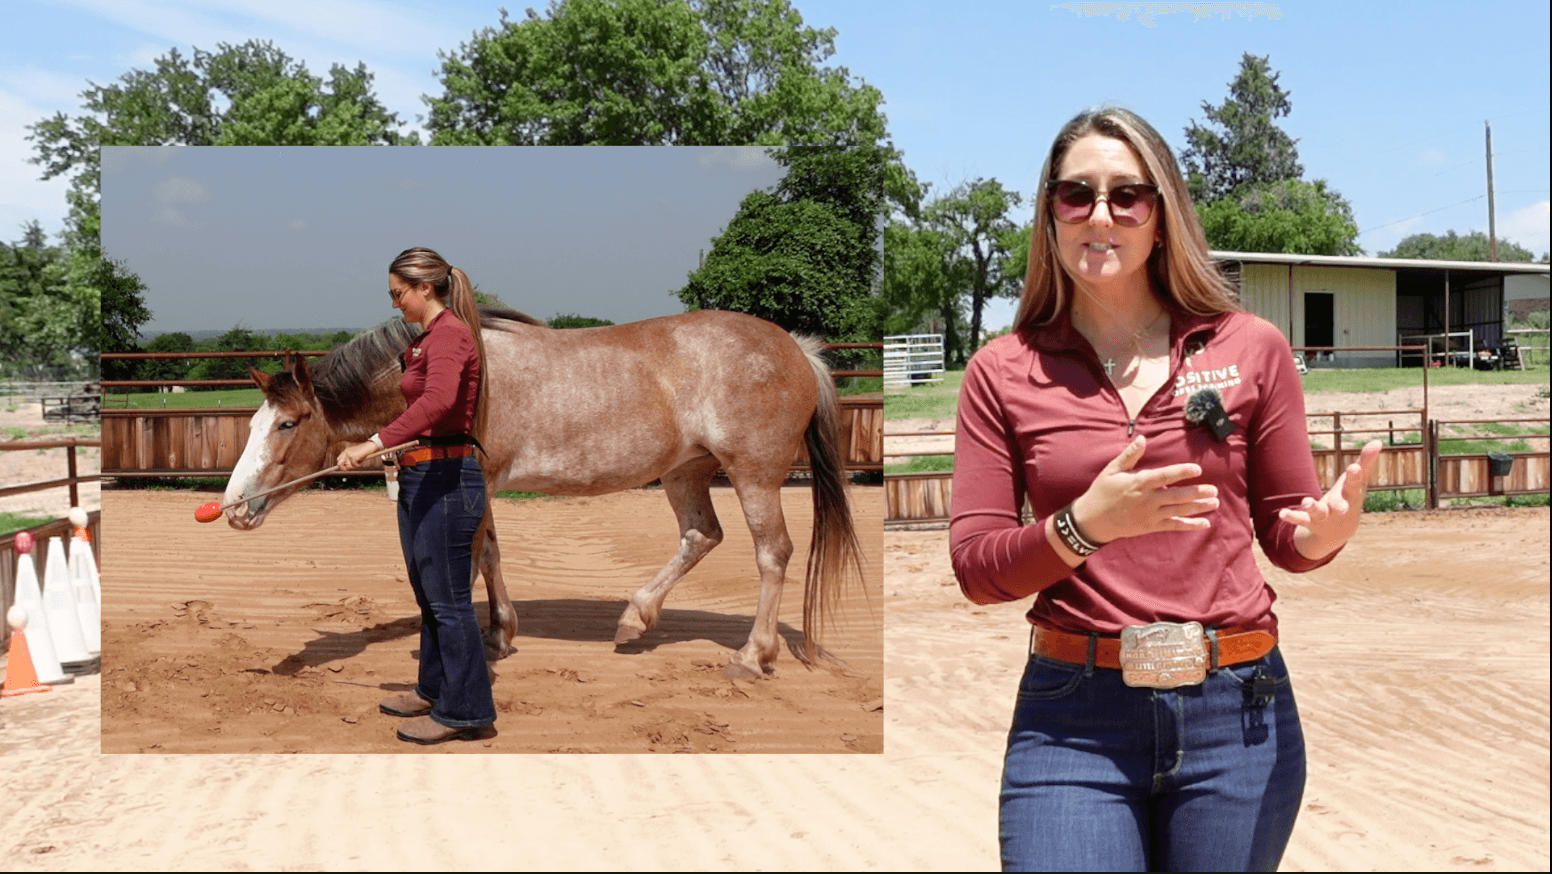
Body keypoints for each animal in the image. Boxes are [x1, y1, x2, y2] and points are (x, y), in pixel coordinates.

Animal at [220, 307, 865, 679]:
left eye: (287, 424)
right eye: (254, 422)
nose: (232, 508)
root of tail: (797, 348)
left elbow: (471, 557)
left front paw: (482, 641)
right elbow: (489, 554)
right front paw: (499, 632)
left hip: (754, 475)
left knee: (772, 553)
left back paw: (753, 656)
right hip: (686, 472)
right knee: (700, 535)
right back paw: (635, 618)